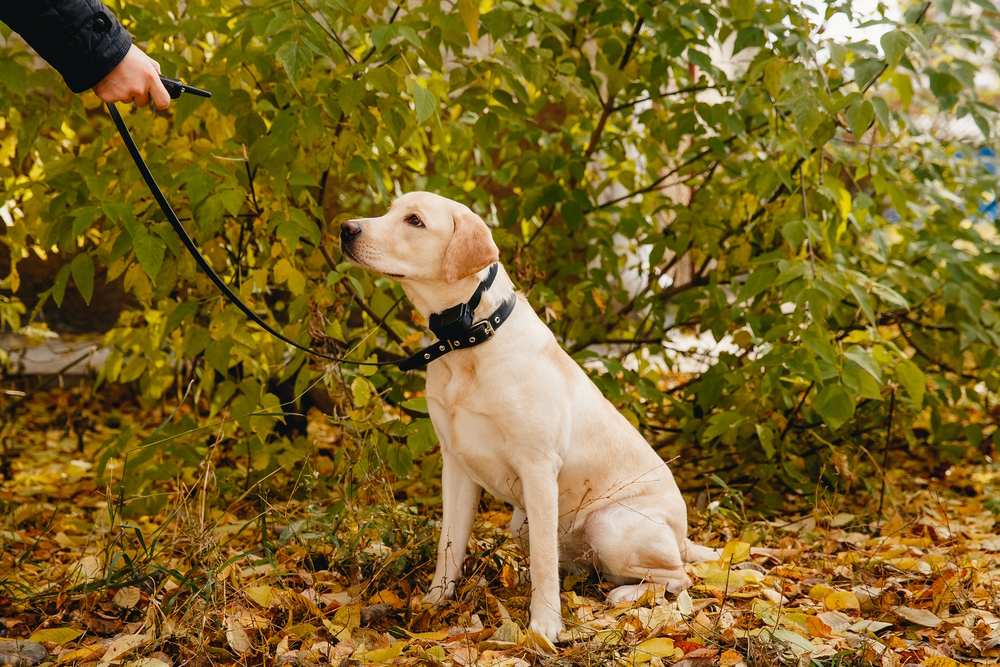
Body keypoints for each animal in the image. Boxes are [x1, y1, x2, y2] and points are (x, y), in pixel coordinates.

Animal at [340, 190, 716, 640]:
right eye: (391, 210)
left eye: (414, 220)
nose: (345, 229)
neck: (471, 339)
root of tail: (683, 536)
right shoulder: (456, 465)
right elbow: (450, 544)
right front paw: (434, 604)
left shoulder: (538, 468)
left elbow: (543, 563)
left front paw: (544, 625)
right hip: (522, 524)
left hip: (606, 523)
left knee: (677, 577)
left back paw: (626, 595)